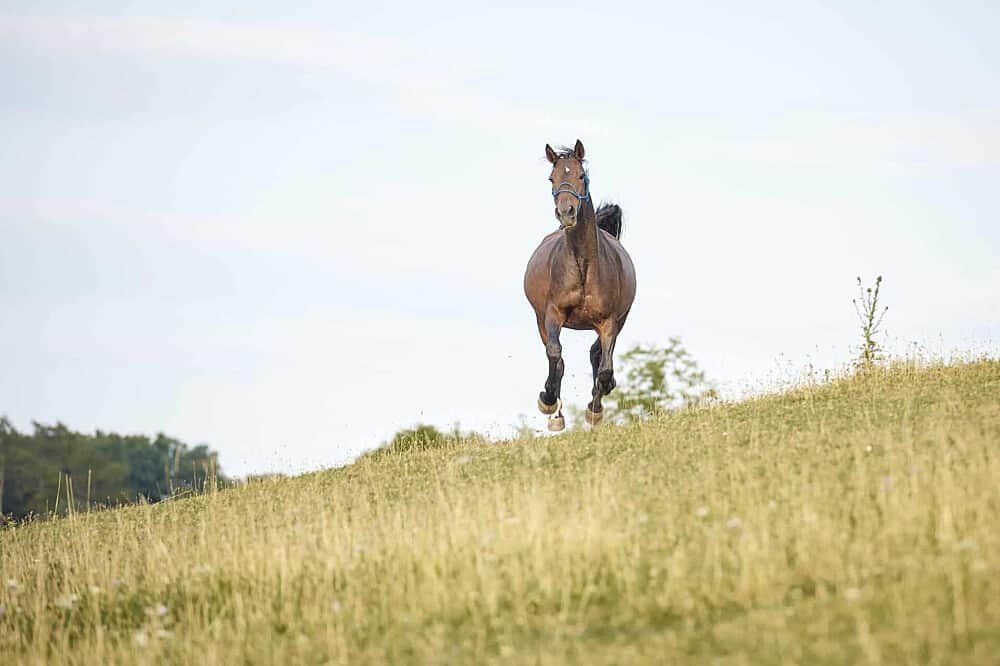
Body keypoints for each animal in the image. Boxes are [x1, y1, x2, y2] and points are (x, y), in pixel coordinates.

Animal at [523, 140, 637, 431]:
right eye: (551, 178)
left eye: (581, 176)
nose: (566, 213)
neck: (583, 265)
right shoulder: (553, 314)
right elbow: (555, 355)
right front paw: (547, 400)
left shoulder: (608, 321)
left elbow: (604, 368)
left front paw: (596, 406)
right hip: (540, 319)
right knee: (558, 359)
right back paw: (556, 413)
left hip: (620, 321)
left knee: (597, 355)